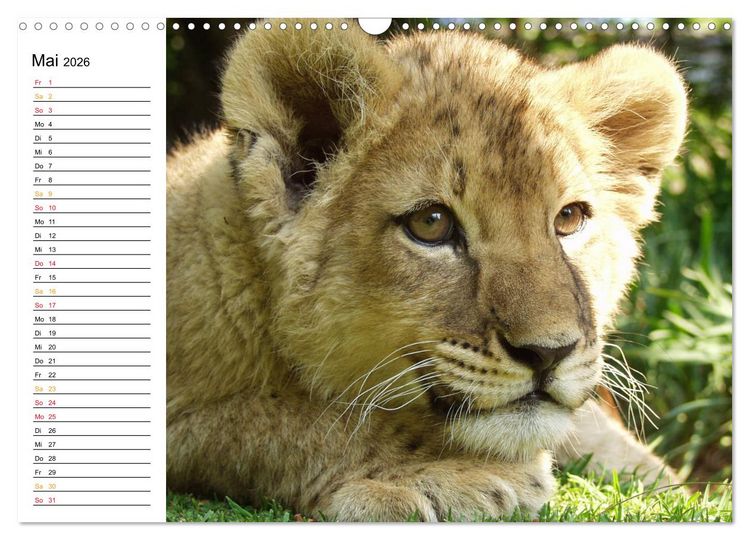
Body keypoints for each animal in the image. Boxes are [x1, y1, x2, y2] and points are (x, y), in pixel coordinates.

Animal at [166, 22, 688, 521]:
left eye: (569, 219)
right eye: (431, 224)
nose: (548, 353)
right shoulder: (181, 421)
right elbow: (282, 423)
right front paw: (457, 474)